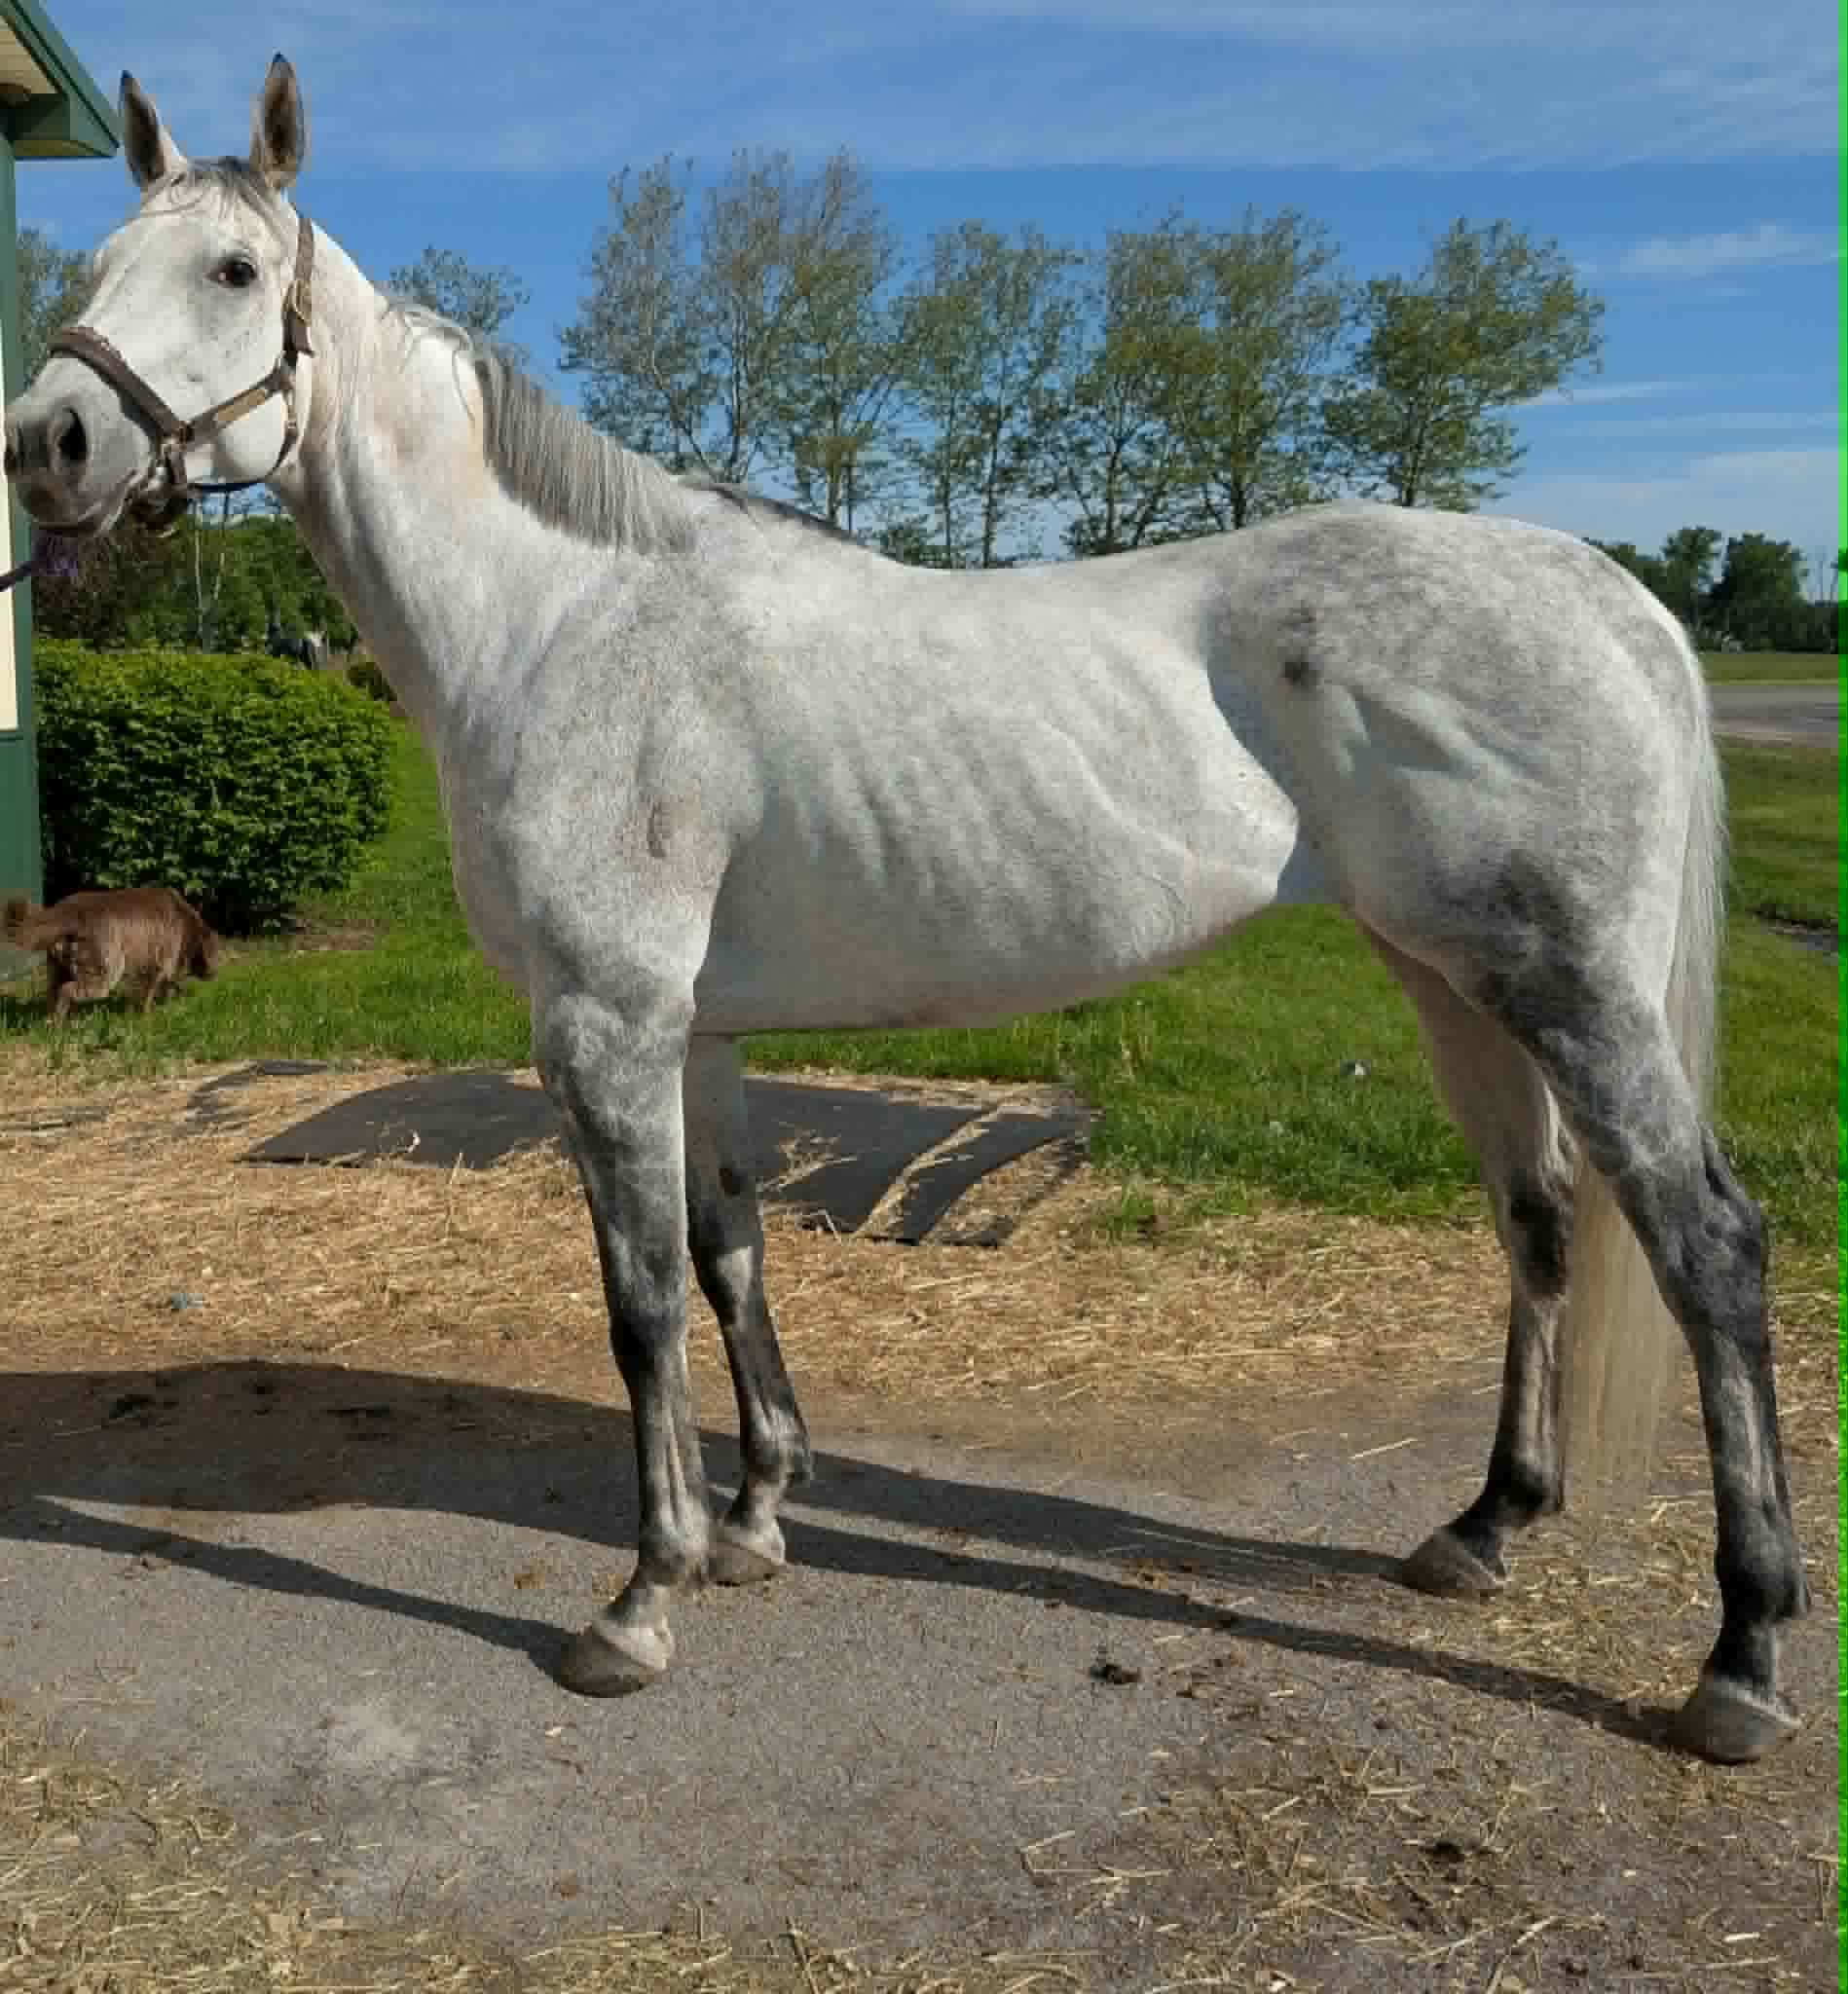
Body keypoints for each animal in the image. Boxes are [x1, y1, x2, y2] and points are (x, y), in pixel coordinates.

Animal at [1, 58, 1806, 1764]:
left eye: (234, 268)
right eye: (92, 262)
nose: (48, 444)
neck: (567, 621)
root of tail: (1617, 600)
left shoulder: (603, 1025)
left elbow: (640, 1304)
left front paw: (640, 1599)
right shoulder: (695, 1032)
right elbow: (729, 1255)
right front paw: (752, 1516)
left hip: (1572, 991)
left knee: (1704, 1244)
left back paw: (1740, 1658)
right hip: (1448, 977)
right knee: (1536, 1219)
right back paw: (1485, 1528)